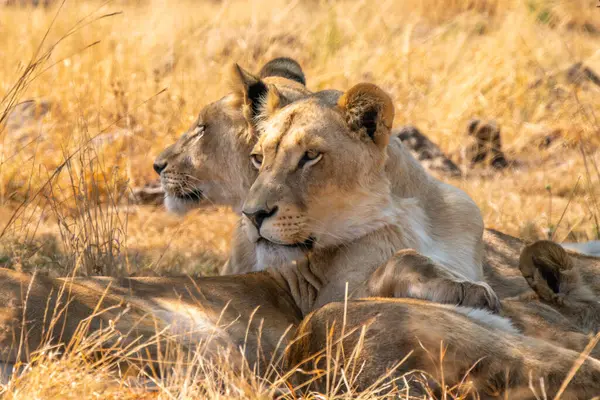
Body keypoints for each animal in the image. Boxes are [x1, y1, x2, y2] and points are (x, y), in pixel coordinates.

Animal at [3, 81, 600, 396]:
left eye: (310, 156)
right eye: (258, 158)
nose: (253, 214)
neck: (410, 214)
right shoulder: (325, 297)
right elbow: (402, 266)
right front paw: (465, 289)